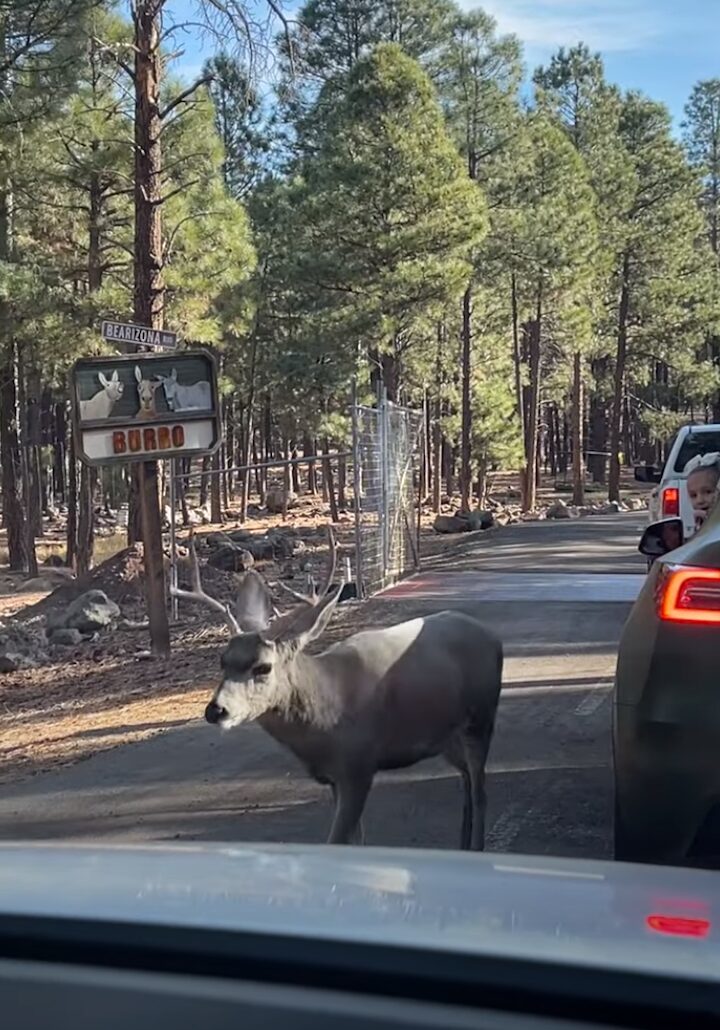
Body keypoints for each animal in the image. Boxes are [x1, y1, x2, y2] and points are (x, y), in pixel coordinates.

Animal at [173, 527, 500, 848]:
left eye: (263, 667)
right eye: (222, 661)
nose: (216, 710)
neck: (325, 715)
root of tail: (490, 635)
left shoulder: (359, 766)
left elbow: (338, 839)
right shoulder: (334, 778)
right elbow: (356, 840)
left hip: (481, 717)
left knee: (480, 790)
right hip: (446, 736)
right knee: (466, 780)